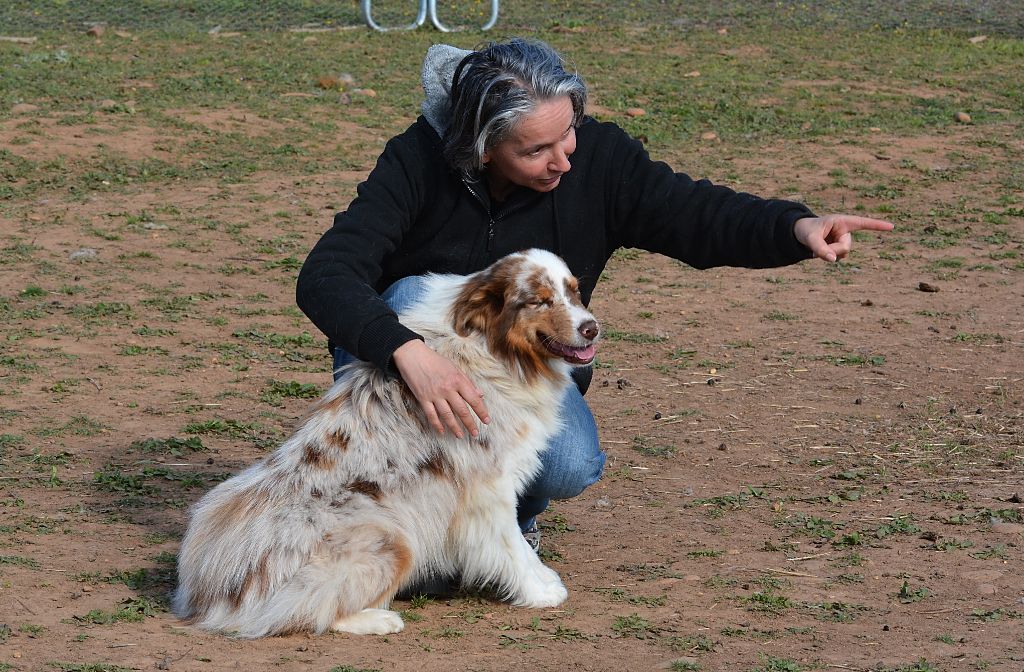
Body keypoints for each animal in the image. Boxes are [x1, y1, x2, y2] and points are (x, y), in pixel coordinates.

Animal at [171, 248, 598, 639]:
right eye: (539, 300)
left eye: (575, 292)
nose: (592, 328)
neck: (488, 347)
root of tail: (208, 594)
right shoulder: (487, 489)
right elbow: (511, 546)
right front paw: (538, 591)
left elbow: (520, 546)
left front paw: (543, 578)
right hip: (393, 539)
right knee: (306, 611)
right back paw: (379, 619)